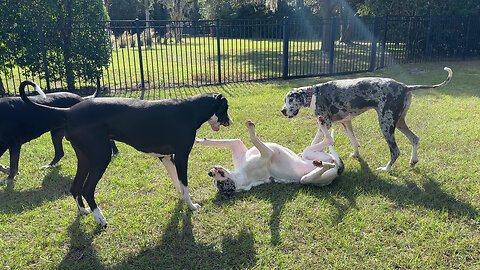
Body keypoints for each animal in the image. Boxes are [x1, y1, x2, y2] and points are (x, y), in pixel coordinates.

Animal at [194, 117, 342, 197]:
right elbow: (253, 138)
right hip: (308, 178)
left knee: (327, 141)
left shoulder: (237, 144)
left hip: (308, 153)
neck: (239, 175)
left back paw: (321, 125)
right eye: (220, 184)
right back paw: (321, 163)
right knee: (329, 147)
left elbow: (225, 141)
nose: (210, 172)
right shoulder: (267, 153)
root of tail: (339, 166)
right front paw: (251, 129)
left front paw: (199, 140)